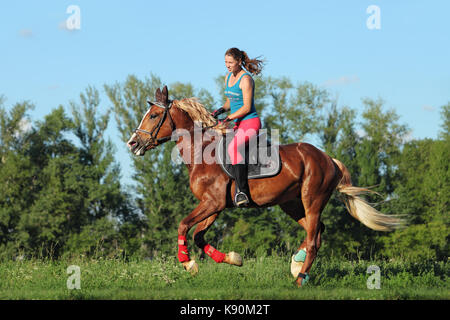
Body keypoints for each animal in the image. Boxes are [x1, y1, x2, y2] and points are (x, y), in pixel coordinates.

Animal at [125, 85, 400, 288]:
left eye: (153, 115)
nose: (132, 143)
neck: (202, 151)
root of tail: (329, 159)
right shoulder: (215, 206)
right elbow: (198, 235)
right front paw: (233, 259)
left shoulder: (212, 203)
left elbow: (183, 225)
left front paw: (187, 263)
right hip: (291, 204)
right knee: (317, 232)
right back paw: (296, 264)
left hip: (312, 200)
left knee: (314, 238)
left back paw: (300, 278)